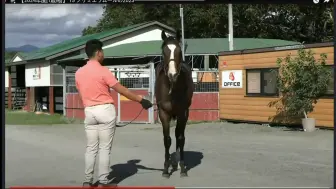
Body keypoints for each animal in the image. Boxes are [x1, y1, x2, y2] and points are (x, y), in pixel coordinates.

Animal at [156, 30, 194, 178]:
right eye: (164, 51)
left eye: (179, 51)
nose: (172, 74)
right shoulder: (163, 113)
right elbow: (167, 140)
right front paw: (166, 169)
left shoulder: (183, 113)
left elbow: (181, 138)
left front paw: (183, 168)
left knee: (178, 135)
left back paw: (177, 162)